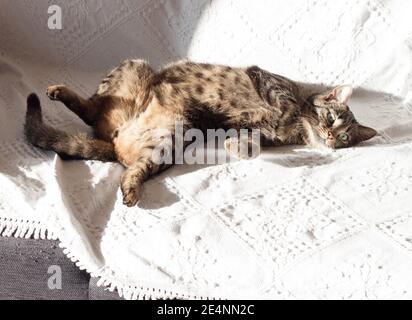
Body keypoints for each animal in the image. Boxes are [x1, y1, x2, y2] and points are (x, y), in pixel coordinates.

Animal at [23, 58, 376, 206]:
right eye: (330, 118)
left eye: (345, 138)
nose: (331, 138)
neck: (295, 131)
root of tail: (113, 139)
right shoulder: (269, 83)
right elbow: (283, 102)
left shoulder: (256, 132)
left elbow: (251, 141)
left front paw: (238, 147)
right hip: (136, 68)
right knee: (91, 106)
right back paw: (57, 91)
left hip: (170, 140)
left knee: (131, 168)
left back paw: (131, 190)